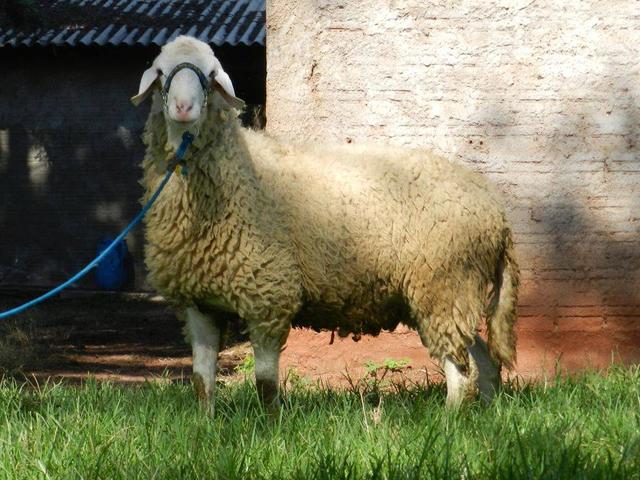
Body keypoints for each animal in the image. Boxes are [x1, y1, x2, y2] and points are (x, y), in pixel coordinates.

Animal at [131, 35, 519, 410]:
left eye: (211, 74)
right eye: (161, 72)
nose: (183, 107)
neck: (238, 172)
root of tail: (496, 210)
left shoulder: (269, 295)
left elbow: (266, 386)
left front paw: (270, 428)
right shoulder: (198, 303)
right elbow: (202, 383)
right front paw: (206, 425)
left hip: (444, 286)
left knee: (461, 373)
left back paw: (448, 421)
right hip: (452, 294)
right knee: (484, 363)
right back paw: (484, 417)